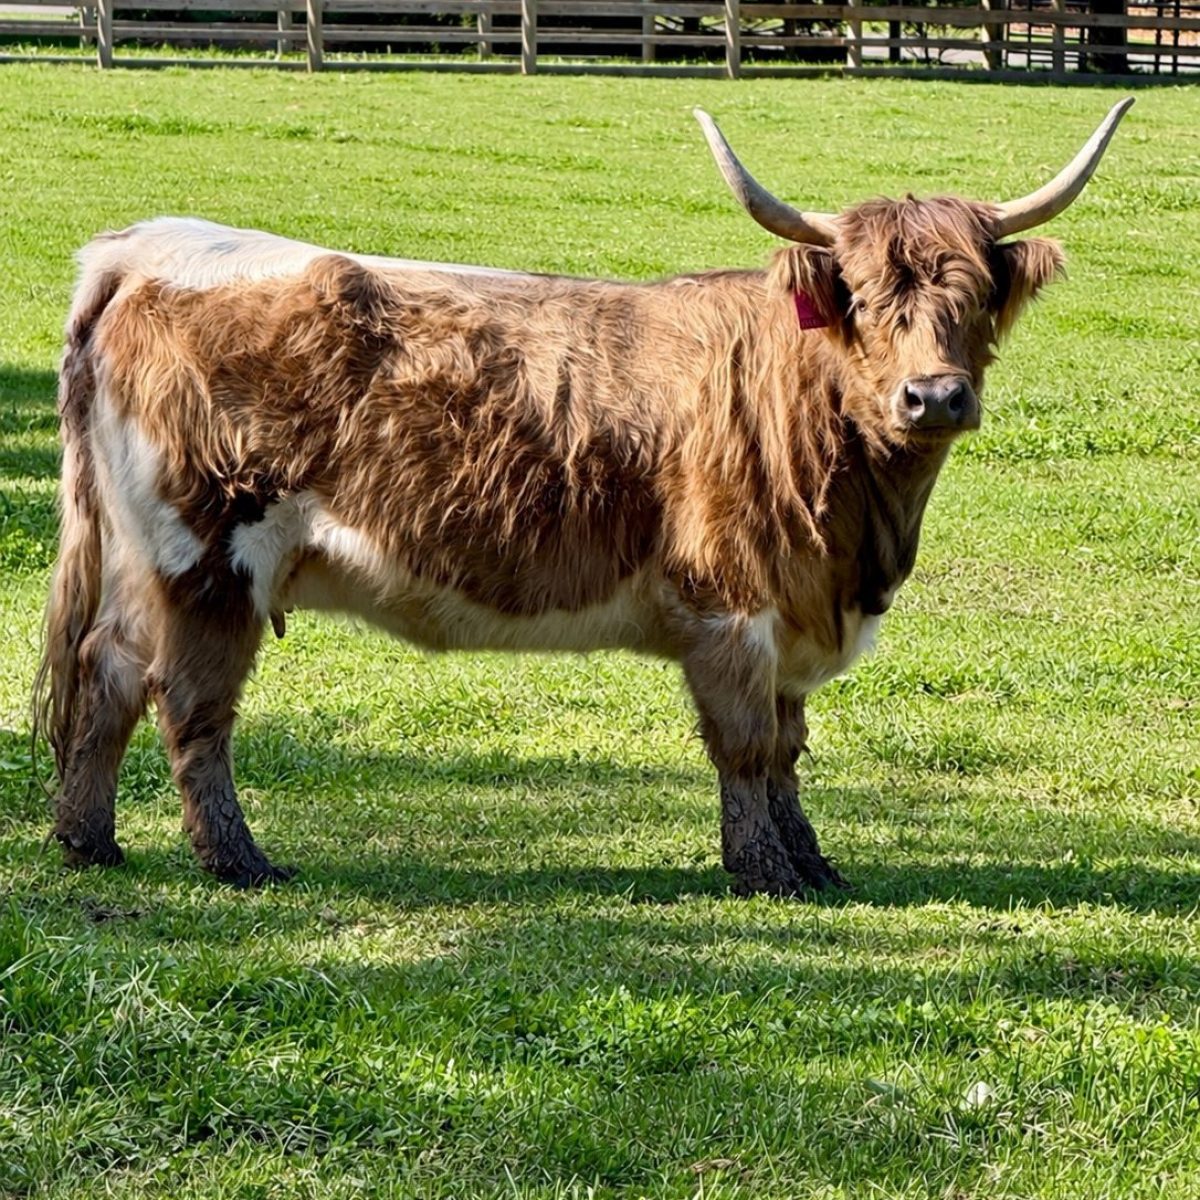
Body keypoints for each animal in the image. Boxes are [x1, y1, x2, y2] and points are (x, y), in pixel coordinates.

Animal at [34, 101, 1132, 896]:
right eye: (859, 299)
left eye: (973, 300)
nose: (934, 395)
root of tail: (145, 247)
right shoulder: (735, 610)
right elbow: (747, 749)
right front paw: (765, 874)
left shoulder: (790, 615)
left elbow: (788, 751)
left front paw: (813, 863)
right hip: (208, 558)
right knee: (191, 706)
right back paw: (238, 860)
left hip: (144, 558)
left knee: (108, 673)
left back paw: (90, 839)